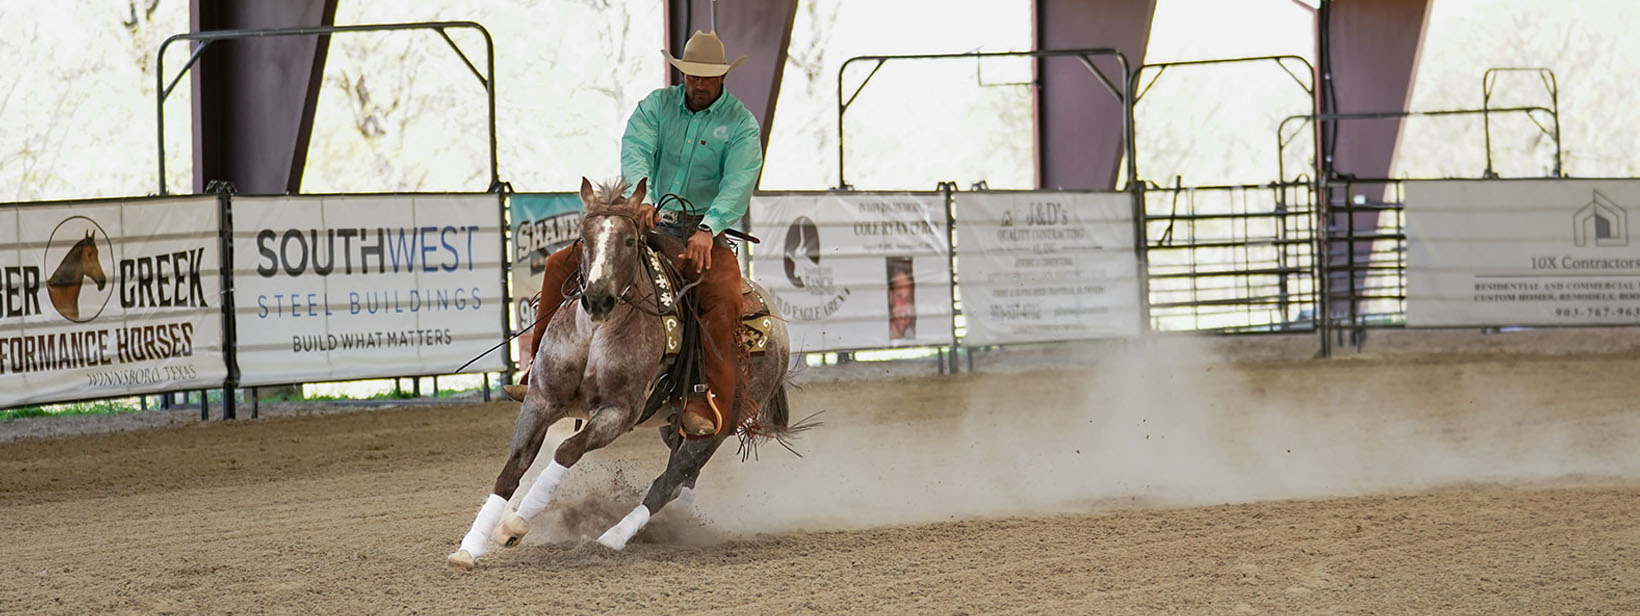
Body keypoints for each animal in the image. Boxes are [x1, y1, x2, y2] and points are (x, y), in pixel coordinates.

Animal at [449, 177, 804, 570]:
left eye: (630, 240)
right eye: (584, 236)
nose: (598, 298)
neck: (595, 334)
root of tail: (775, 322)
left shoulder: (619, 411)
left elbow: (568, 450)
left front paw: (515, 524)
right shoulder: (541, 400)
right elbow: (512, 468)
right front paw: (470, 547)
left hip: (721, 425)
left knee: (668, 482)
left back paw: (613, 538)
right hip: (673, 424)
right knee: (683, 476)